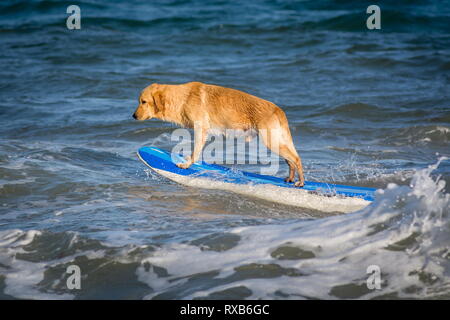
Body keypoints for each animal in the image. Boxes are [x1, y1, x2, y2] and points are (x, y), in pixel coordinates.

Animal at [132, 82, 304, 186]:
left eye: (143, 102)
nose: (133, 116)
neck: (183, 99)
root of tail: (278, 109)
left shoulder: (200, 130)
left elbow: (195, 152)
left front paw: (187, 164)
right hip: (277, 140)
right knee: (291, 161)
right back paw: (290, 179)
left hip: (271, 141)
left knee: (296, 159)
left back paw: (301, 182)